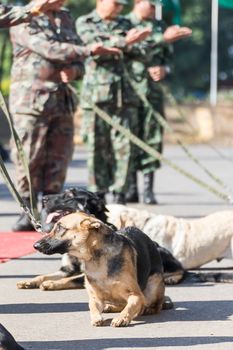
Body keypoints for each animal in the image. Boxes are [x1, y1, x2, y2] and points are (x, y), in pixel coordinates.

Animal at [33, 212, 169, 326]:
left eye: (60, 228)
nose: (35, 245)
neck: (96, 259)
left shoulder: (136, 295)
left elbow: (129, 308)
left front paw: (122, 318)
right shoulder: (95, 297)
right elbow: (92, 306)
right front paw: (96, 317)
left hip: (153, 284)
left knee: (153, 305)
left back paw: (148, 308)